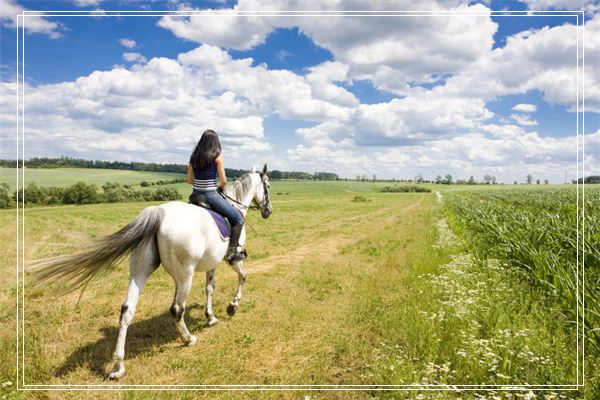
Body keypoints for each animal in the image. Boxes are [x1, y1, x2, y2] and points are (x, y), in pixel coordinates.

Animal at [28, 164, 272, 380]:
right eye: (267, 185)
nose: (268, 211)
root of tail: (159, 213)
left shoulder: (211, 264)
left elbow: (209, 289)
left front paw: (210, 317)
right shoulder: (229, 259)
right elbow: (242, 276)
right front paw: (232, 307)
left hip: (141, 271)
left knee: (127, 310)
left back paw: (118, 366)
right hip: (185, 274)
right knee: (177, 309)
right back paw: (188, 339)